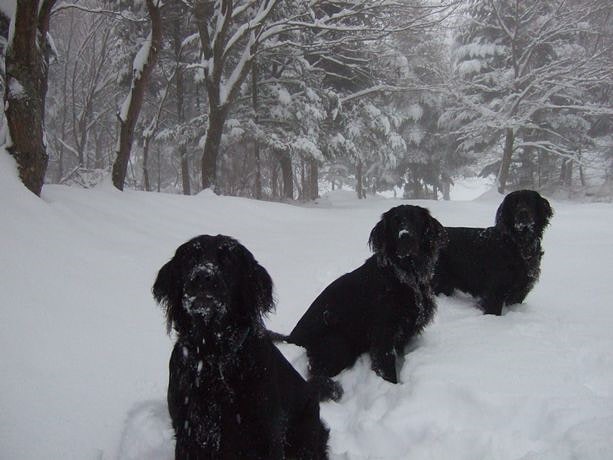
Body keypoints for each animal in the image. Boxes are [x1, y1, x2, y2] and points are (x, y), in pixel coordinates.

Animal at [152, 235, 328, 458]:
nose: (202, 276)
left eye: (228, 260)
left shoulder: (267, 433)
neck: (212, 354)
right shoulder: (187, 432)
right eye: (190, 258)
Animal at [280, 207, 448, 400]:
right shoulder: (383, 332)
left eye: (415, 219)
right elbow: (386, 365)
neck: (406, 273)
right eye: (395, 222)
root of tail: (291, 339)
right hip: (336, 340)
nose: (404, 236)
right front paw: (391, 387)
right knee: (316, 374)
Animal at [432, 188, 552, 316]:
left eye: (530, 201)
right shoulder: (496, 288)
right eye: (514, 204)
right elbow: (493, 308)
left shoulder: (521, 288)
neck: (518, 242)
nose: (522, 213)